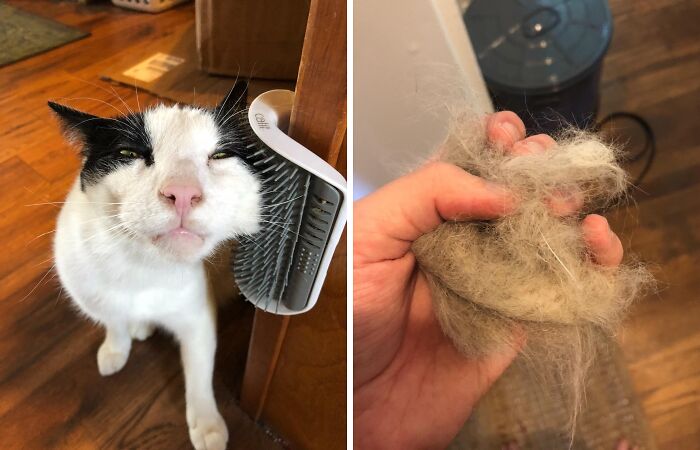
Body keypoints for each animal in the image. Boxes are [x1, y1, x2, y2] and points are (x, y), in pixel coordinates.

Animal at [50, 87, 260, 450]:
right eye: (128, 152)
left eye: (220, 155)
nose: (183, 193)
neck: (144, 268)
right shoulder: (94, 295)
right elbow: (114, 322)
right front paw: (115, 349)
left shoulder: (196, 318)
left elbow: (199, 371)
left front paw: (206, 423)